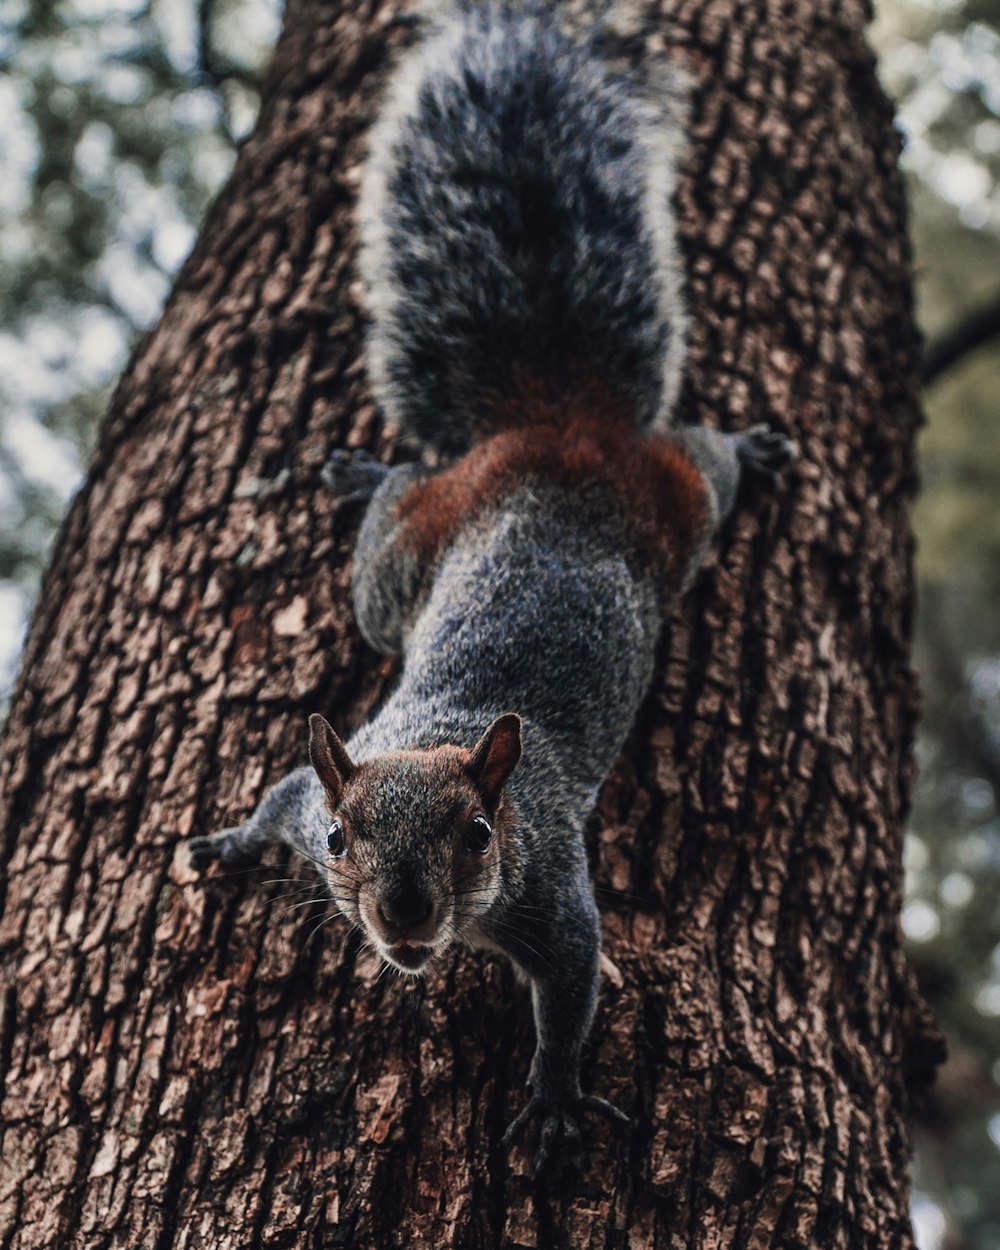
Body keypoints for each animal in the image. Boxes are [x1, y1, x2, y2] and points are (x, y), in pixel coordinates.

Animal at [187, 0, 795, 1175]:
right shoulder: (320, 786)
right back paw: (366, 473)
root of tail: (555, 433)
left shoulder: (552, 885)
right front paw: (233, 841)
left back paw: (746, 442)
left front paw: (555, 1095)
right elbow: (278, 792)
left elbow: (571, 992)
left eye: (478, 832)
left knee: (708, 460)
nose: (403, 917)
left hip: (672, 505)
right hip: (408, 574)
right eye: (341, 841)